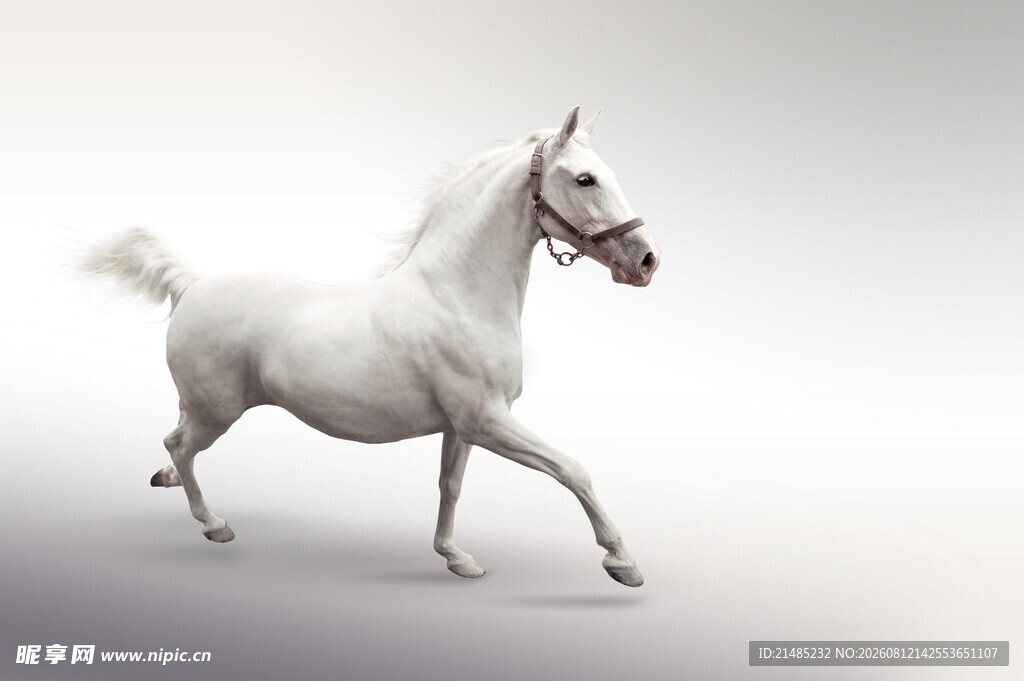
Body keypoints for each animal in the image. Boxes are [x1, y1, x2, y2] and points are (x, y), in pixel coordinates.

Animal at [79, 107, 661, 587]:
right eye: (584, 179)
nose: (646, 261)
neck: (457, 294)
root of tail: (191, 286)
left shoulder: (461, 427)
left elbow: (450, 486)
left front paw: (456, 557)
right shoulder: (487, 421)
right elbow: (573, 470)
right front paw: (622, 562)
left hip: (200, 404)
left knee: (176, 442)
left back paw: (168, 483)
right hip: (217, 412)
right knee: (179, 445)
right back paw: (214, 525)